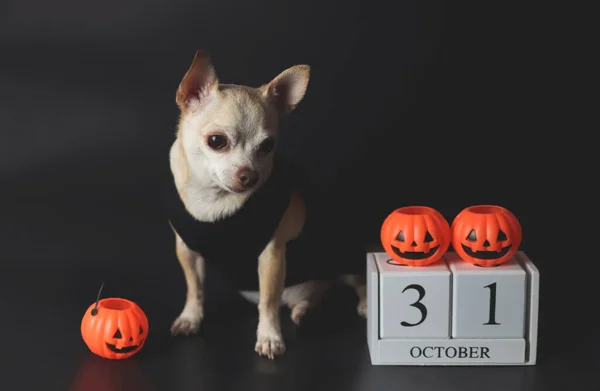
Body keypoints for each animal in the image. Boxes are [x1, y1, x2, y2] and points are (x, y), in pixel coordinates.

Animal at [166, 50, 368, 360]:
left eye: (267, 146)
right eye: (216, 141)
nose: (249, 176)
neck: (214, 201)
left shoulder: (272, 256)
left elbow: (268, 301)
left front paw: (270, 336)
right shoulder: (187, 250)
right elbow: (195, 288)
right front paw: (190, 318)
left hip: (344, 250)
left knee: (358, 280)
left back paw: (364, 304)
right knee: (319, 293)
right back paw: (304, 308)